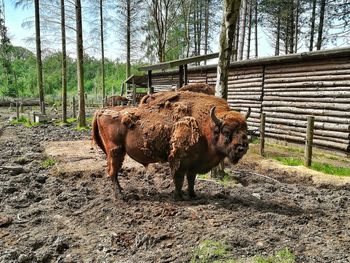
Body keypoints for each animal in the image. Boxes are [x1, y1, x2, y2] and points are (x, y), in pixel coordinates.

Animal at [91, 92, 250, 201]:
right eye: (227, 131)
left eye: (245, 130)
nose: (242, 148)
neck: (207, 125)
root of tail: (100, 111)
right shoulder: (179, 160)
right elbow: (178, 179)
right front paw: (179, 196)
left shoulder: (194, 163)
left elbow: (191, 179)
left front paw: (193, 195)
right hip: (115, 151)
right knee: (112, 172)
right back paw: (120, 196)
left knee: (113, 173)